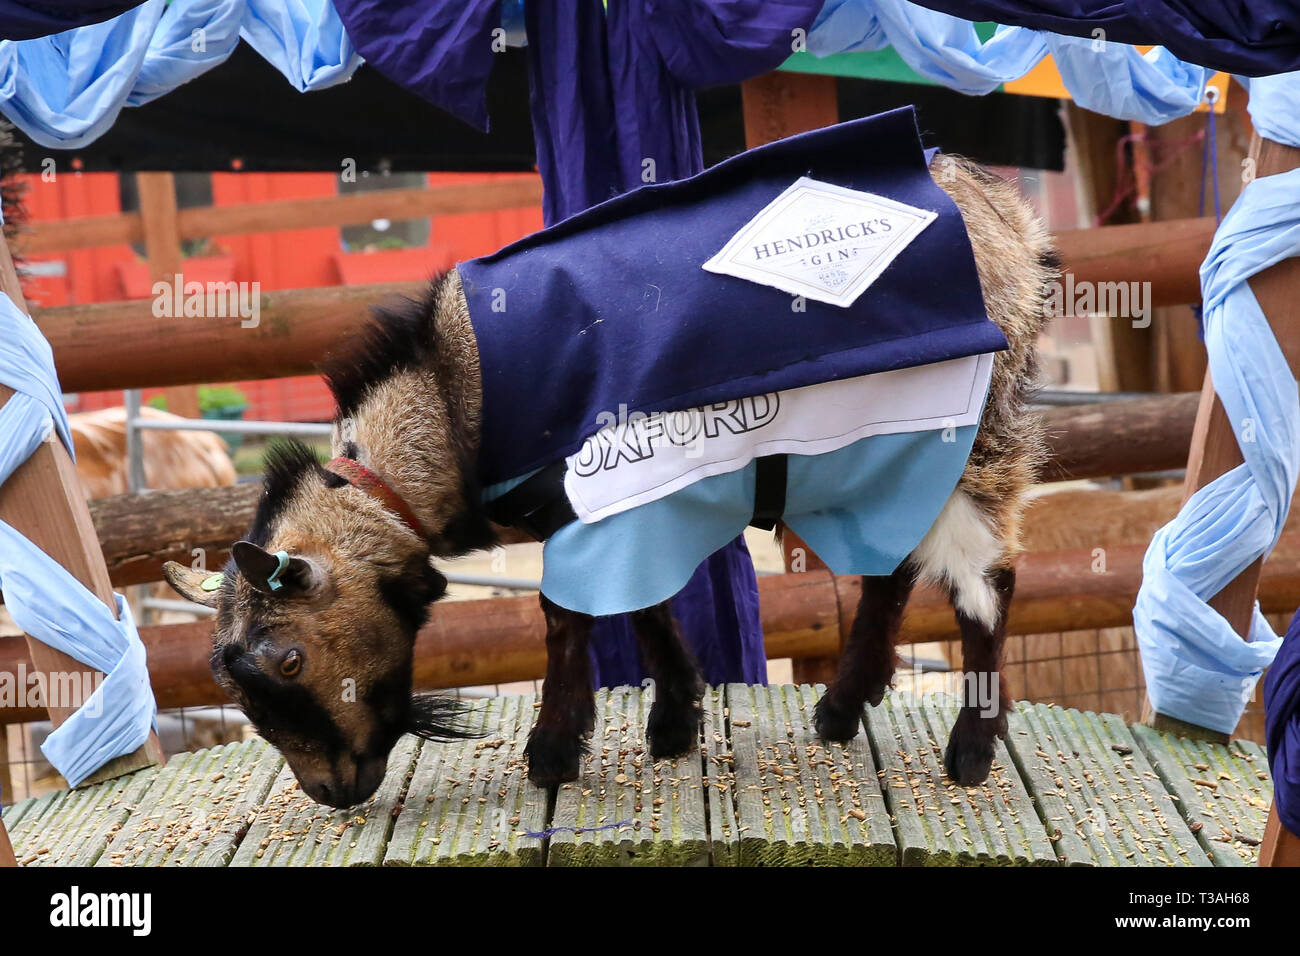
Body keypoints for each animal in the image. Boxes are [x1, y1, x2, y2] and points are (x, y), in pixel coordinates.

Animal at [162, 149, 1055, 806]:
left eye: (288, 661)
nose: (329, 793)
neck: (451, 403)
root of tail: (1002, 214)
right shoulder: (624, 506)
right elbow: (645, 609)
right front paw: (675, 721)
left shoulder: (589, 504)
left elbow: (568, 618)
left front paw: (554, 752)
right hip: (877, 450)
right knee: (894, 565)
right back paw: (841, 707)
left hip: (971, 433)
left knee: (987, 580)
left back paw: (970, 750)